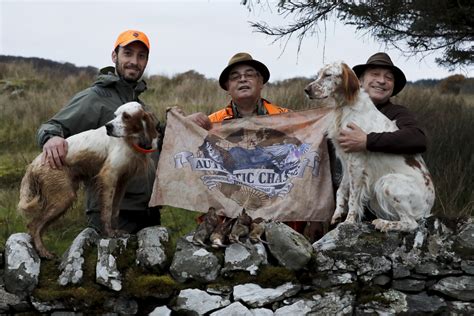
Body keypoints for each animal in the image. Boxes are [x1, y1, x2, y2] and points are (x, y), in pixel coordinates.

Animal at [18, 102, 159, 258]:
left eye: (126, 116)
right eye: (115, 115)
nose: (108, 126)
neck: (130, 140)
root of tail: (33, 164)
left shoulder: (123, 180)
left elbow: (115, 210)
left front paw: (117, 230)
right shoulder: (109, 175)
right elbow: (107, 210)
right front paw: (109, 233)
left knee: (38, 226)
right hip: (63, 197)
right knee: (34, 225)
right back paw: (44, 252)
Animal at [306, 62, 436, 232]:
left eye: (328, 75)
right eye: (319, 74)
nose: (306, 90)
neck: (344, 107)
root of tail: (429, 207)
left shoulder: (356, 162)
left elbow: (353, 198)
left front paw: (349, 221)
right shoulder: (346, 161)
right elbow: (342, 189)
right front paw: (338, 213)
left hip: (387, 182)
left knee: (411, 223)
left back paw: (384, 223)